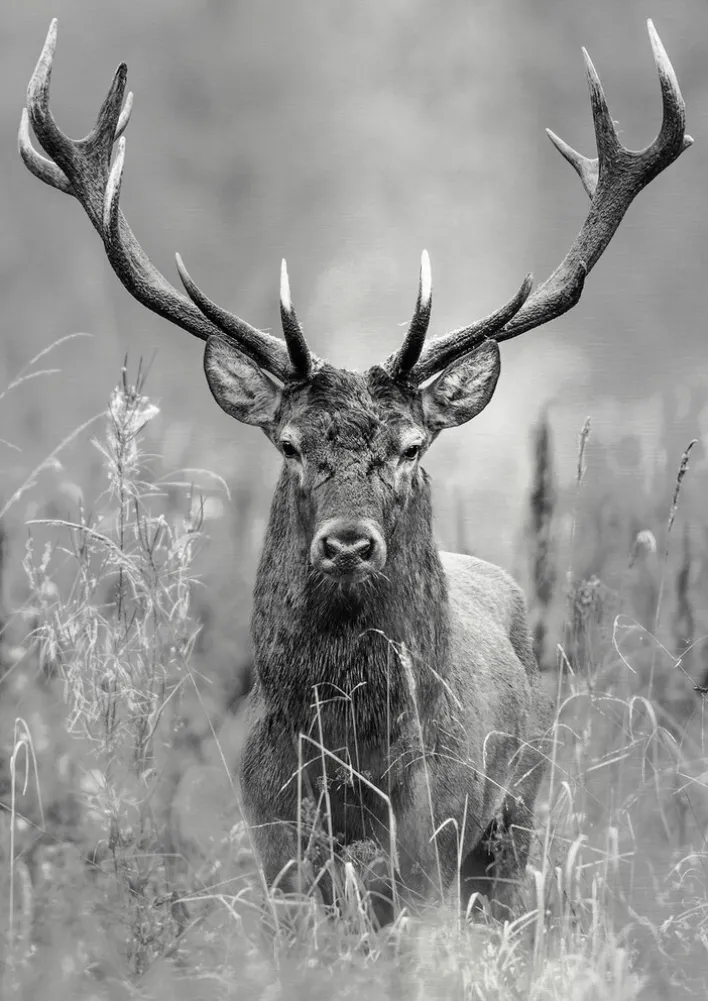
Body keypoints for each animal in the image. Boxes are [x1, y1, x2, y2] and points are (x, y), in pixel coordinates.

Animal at [19, 20, 691, 921]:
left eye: (410, 446)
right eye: (290, 444)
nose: (347, 543)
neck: (348, 755)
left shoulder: (432, 836)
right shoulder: (272, 836)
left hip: (516, 816)